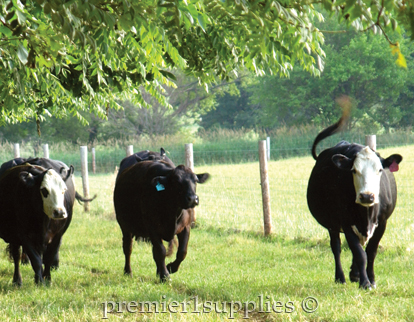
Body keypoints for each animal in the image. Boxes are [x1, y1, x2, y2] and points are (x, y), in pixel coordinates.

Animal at [308, 110, 402, 290]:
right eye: (353, 170)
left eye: (380, 170)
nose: (366, 196)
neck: (367, 213)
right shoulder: (345, 222)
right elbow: (359, 253)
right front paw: (365, 283)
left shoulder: (382, 222)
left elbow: (371, 252)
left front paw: (371, 279)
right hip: (332, 223)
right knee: (336, 247)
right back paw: (341, 277)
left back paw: (355, 274)